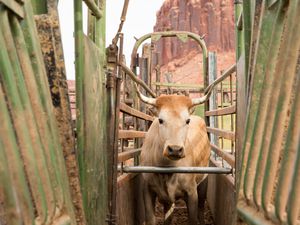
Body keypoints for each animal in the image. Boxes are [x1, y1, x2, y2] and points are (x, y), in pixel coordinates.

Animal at [136, 89, 211, 225]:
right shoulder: (147, 190)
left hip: (204, 181)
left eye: (187, 120)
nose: (175, 149)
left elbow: (193, 219)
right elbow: (152, 219)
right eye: (160, 120)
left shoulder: (192, 192)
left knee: (201, 208)